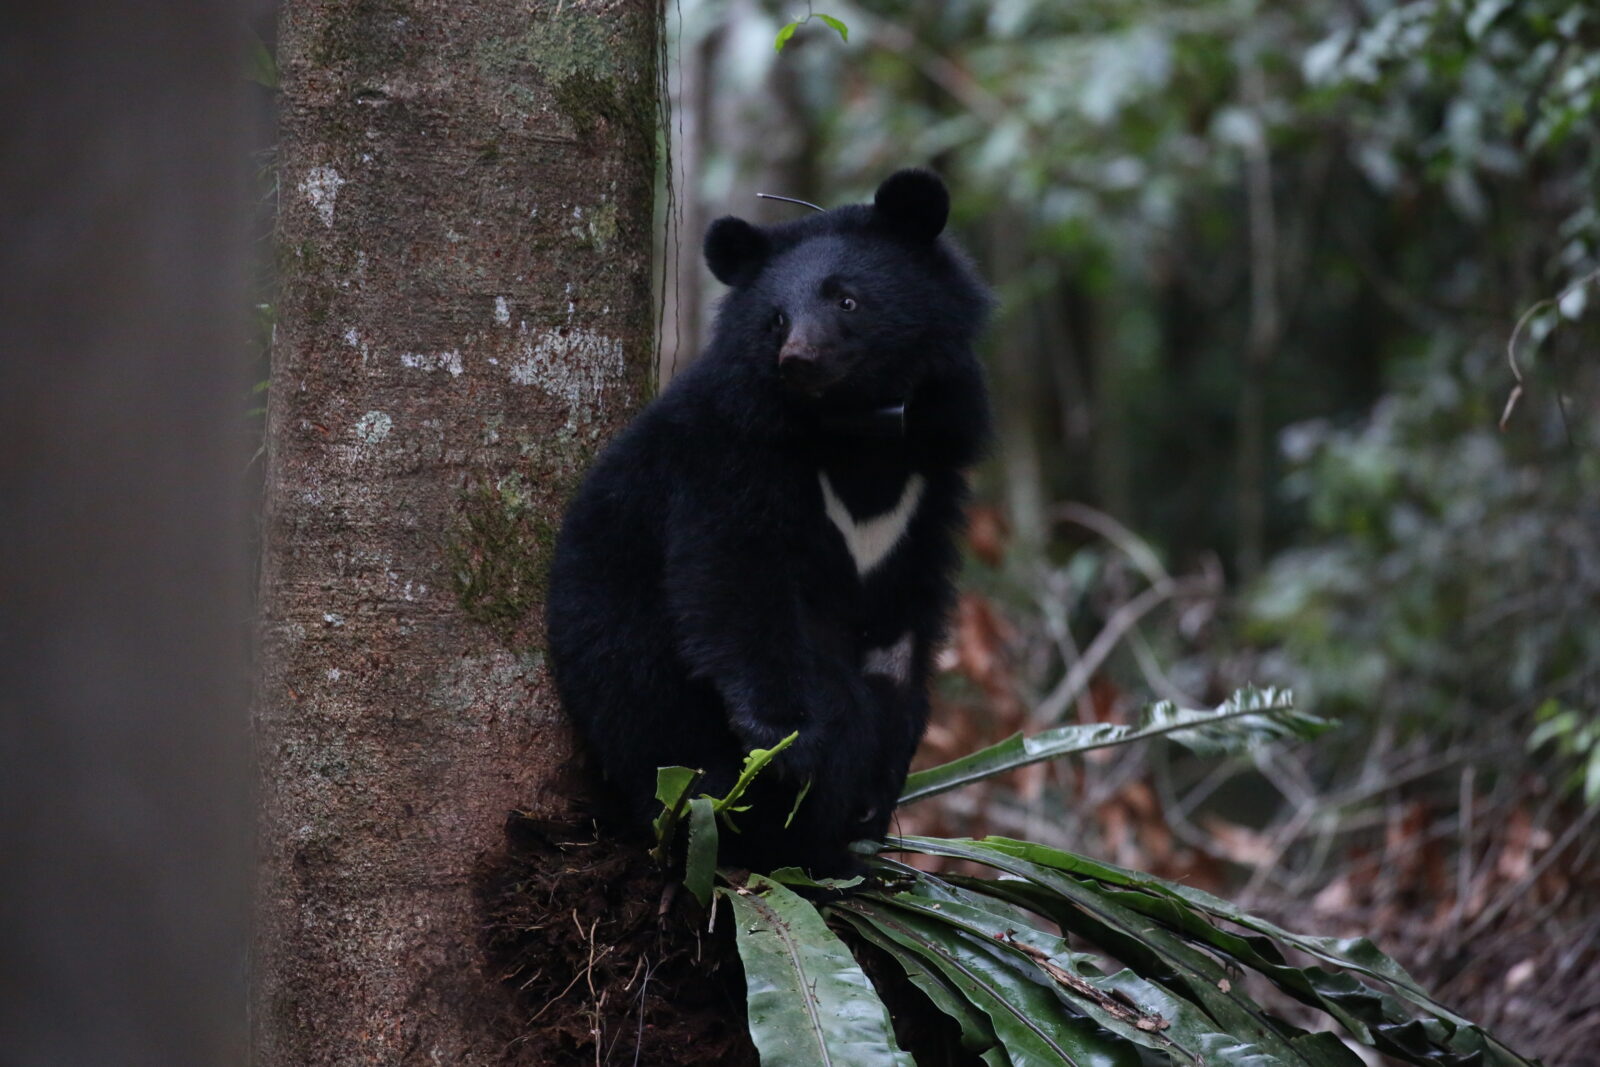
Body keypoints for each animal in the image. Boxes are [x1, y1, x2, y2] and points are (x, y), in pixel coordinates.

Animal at [556, 168, 992, 876]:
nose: (798, 359)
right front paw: (788, 748)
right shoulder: (731, 454)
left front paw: (886, 771)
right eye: (776, 318)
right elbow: (736, 584)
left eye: (847, 300)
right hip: (662, 729)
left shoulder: (931, 482)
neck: (856, 432)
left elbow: (902, 632)